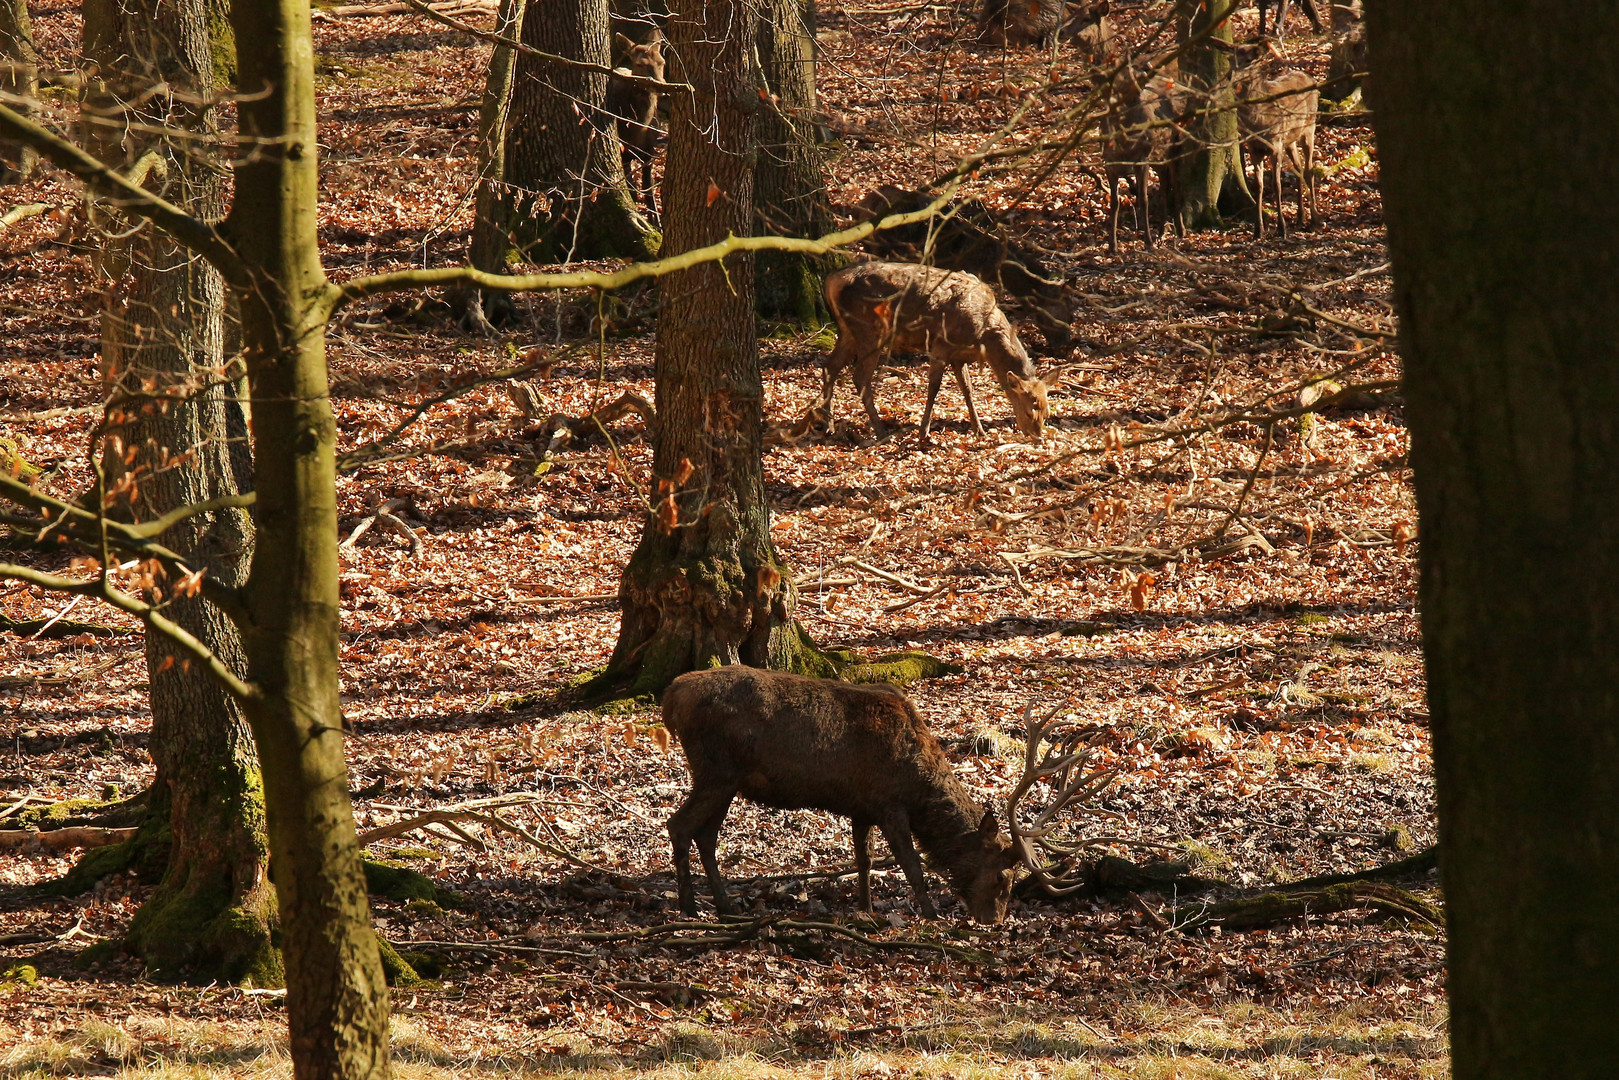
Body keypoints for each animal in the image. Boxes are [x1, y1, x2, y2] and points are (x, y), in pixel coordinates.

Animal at [657, 667, 1113, 919]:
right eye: (1003, 876)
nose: (995, 921)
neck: (918, 781)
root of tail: (670, 696)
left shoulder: (862, 806)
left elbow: (864, 858)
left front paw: (866, 908)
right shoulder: (890, 803)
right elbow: (911, 863)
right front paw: (930, 912)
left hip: (726, 780)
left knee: (705, 834)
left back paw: (724, 905)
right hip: (716, 770)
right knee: (679, 825)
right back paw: (689, 906)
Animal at [815, 259, 1055, 440]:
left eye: (1047, 412)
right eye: (1030, 410)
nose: (1037, 437)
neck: (983, 338)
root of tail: (832, 280)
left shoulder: (959, 356)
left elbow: (967, 389)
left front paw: (979, 430)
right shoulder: (941, 344)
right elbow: (934, 387)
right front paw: (924, 433)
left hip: (848, 331)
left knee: (829, 366)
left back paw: (829, 425)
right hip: (870, 330)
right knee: (859, 377)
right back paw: (880, 430)